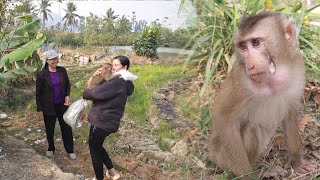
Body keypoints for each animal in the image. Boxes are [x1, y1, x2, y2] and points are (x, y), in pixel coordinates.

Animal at [206, 11, 314, 179]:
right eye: (243, 47)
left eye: (256, 42)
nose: (250, 65)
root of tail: (211, 154)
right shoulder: (241, 81)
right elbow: (225, 120)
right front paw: (248, 175)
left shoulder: (297, 64)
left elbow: (291, 112)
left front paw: (295, 161)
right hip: (222, 157)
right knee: (252, 129)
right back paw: (256, 171)